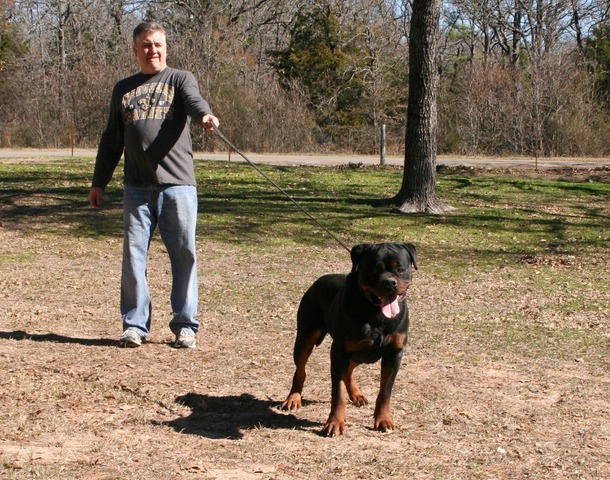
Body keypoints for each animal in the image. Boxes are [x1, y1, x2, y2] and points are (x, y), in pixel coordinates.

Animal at [282, 242, 416, 436]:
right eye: (374, 269)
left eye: (400, 269)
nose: (390, 282)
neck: (375, 314)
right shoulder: (339, 351)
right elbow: (337, 393)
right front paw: (334, 422)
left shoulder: (394, 353)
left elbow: (385, 392)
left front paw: (384, 420)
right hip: (305, 337)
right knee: (301, 370)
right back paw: (293, 398)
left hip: (360, 353)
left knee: (349, 370)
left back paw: (356, 395)